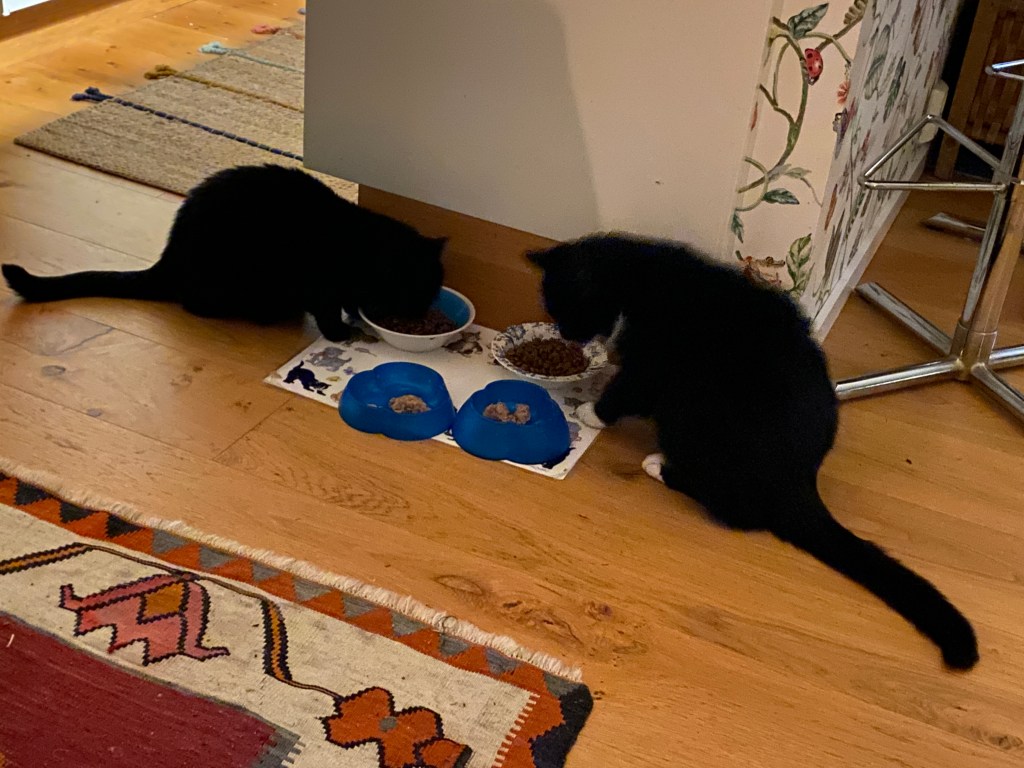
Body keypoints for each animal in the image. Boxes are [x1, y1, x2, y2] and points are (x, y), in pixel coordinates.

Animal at [2, 164, 445, 341]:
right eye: (415, 293)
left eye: (432, 291)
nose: (422, 313)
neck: (361, 247)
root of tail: (169, 257)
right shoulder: (321, 286)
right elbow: (327, 310)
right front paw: (341, 332)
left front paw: (356, 315)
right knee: (194, 304)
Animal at [527, 232, 979, 670]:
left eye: (566, 308)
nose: (565, 334)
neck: (635, 278)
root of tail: (800, 484)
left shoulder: (650, 365)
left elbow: (626, 391)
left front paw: (590, 412)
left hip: (693, 412)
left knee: (736, 510)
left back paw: (660, 465)